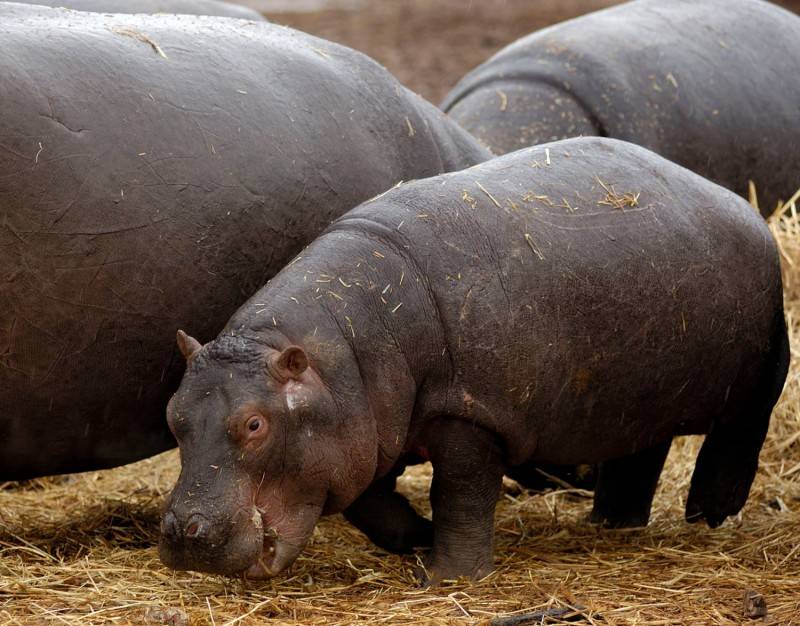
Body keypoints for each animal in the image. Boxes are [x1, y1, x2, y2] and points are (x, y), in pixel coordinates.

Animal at [161, 138, 788, 584]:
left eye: (254, 424)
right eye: (173, 416)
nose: (184, 534)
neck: (336, 359)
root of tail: (740, 204)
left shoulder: (470, 414)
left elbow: (460, 495)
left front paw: (446, 577)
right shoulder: (367, 430)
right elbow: (371, 504)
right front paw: (418, 540)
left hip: (754, 375)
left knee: (740, 432)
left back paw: (709, 513)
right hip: (635, 395)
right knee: (640, 453)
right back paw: (614, 523)